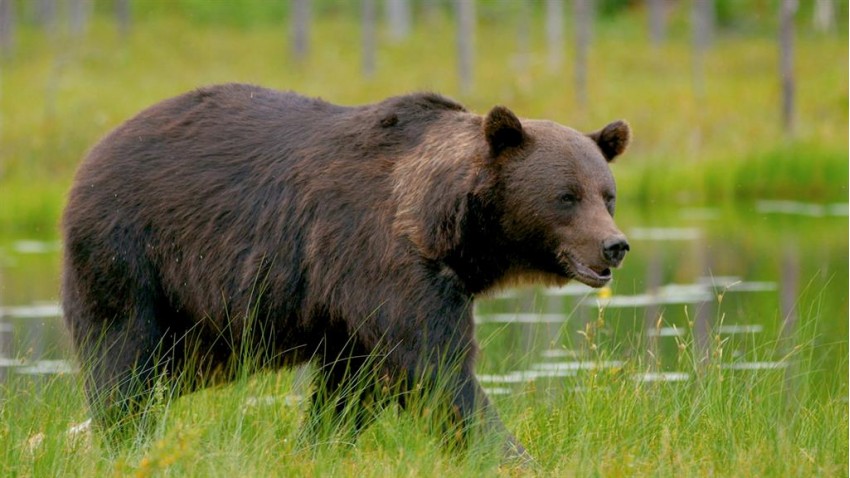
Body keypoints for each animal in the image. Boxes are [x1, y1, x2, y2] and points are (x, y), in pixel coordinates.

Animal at [61, 84, 628, 462]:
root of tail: (93, 153)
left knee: (164, 373)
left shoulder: (349, 305)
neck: (446, 230)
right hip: (135, 254)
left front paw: (319, 445)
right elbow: (435, 370)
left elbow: (351, 388)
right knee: (124, 360)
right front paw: (509, 454)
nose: (615, 246)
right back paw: (120, 437)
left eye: (607, 194)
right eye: (565, 196)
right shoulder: (382, 260)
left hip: (195, 323)